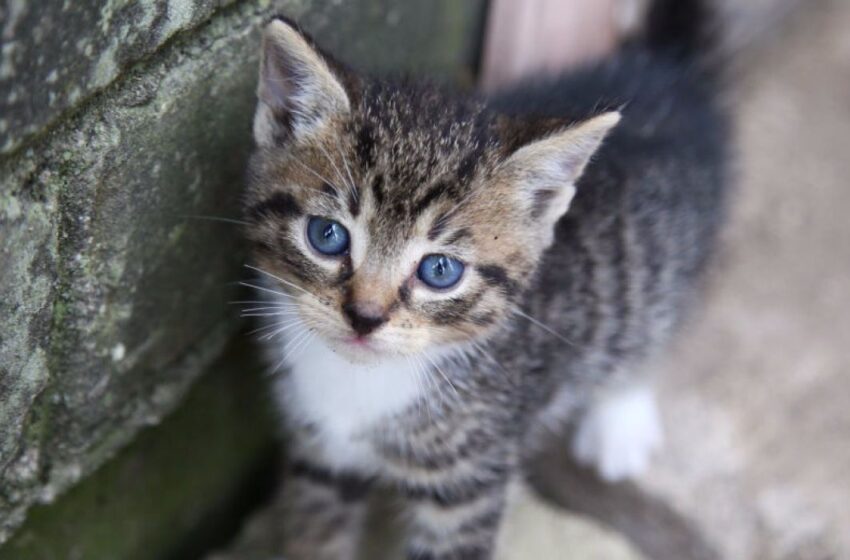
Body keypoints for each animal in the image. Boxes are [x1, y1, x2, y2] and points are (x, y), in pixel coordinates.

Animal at [240, 1, 728, 556]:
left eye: (440, 270)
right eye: (327, 236)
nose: (364, 317)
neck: (363, 383)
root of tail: (661, 67)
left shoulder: (469, 482)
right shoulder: (318, 453)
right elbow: (315, 532)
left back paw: (621, 419)